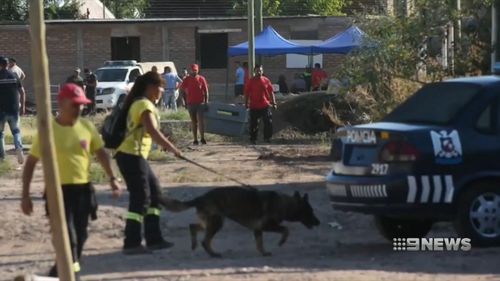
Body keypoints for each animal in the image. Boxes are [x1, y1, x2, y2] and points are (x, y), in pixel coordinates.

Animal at [160, 186, 320, 256]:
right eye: (310, 211)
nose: (319, 223)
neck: (285, 203)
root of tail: (200, 198)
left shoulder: (258, 230)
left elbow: (259, 244)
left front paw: (263, 253)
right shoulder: (267, 226)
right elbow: (286, 229)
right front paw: (281, 242)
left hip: (210, 222)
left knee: (192, 226)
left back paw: (194, 245)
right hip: (217, 222)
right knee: (205, 241)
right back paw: (213, 254)